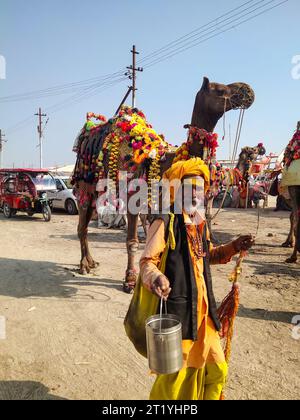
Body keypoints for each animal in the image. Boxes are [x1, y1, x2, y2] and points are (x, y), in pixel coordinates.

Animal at [71, 76, 255, 292]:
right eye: (219, 90)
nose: (247, 90)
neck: (163, 160)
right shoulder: (134, 197)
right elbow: (132, 241)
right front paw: (130, 280)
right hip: (85, 184)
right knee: (82, 226)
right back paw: (84, 265)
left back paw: (91, 262)